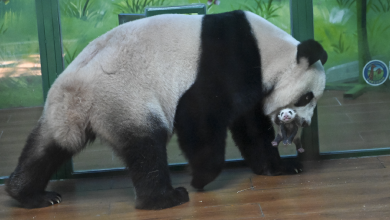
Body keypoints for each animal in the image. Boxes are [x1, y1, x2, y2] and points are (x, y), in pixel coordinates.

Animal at [6, 10, 328, 210]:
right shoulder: (230, 59)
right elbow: (198, 113)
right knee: (146, 145)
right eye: (306, 97)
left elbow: (251, 128)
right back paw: (164, 198)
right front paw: (200, 179)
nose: (305, 123)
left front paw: (281, 167)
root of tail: (79, 91)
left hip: (65, 109)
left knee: (50, 145)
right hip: (125, 96)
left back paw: (29, 194)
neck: (268, 51)